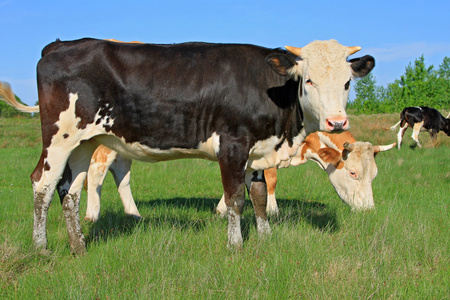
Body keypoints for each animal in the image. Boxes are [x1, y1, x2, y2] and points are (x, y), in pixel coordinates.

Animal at [0, 37, 376, 253]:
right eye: (308, 80)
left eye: (346, 83)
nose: (337, 122)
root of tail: (61, 44)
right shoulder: (233, 144)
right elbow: (235, 198)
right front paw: (236, 246)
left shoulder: (257, 151)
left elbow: (257, 195)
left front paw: (266, 238)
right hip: (59, 137)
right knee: (43, 184)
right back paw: (42, 248)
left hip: (84, 141)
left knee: (71, 188)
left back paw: (78, 246)